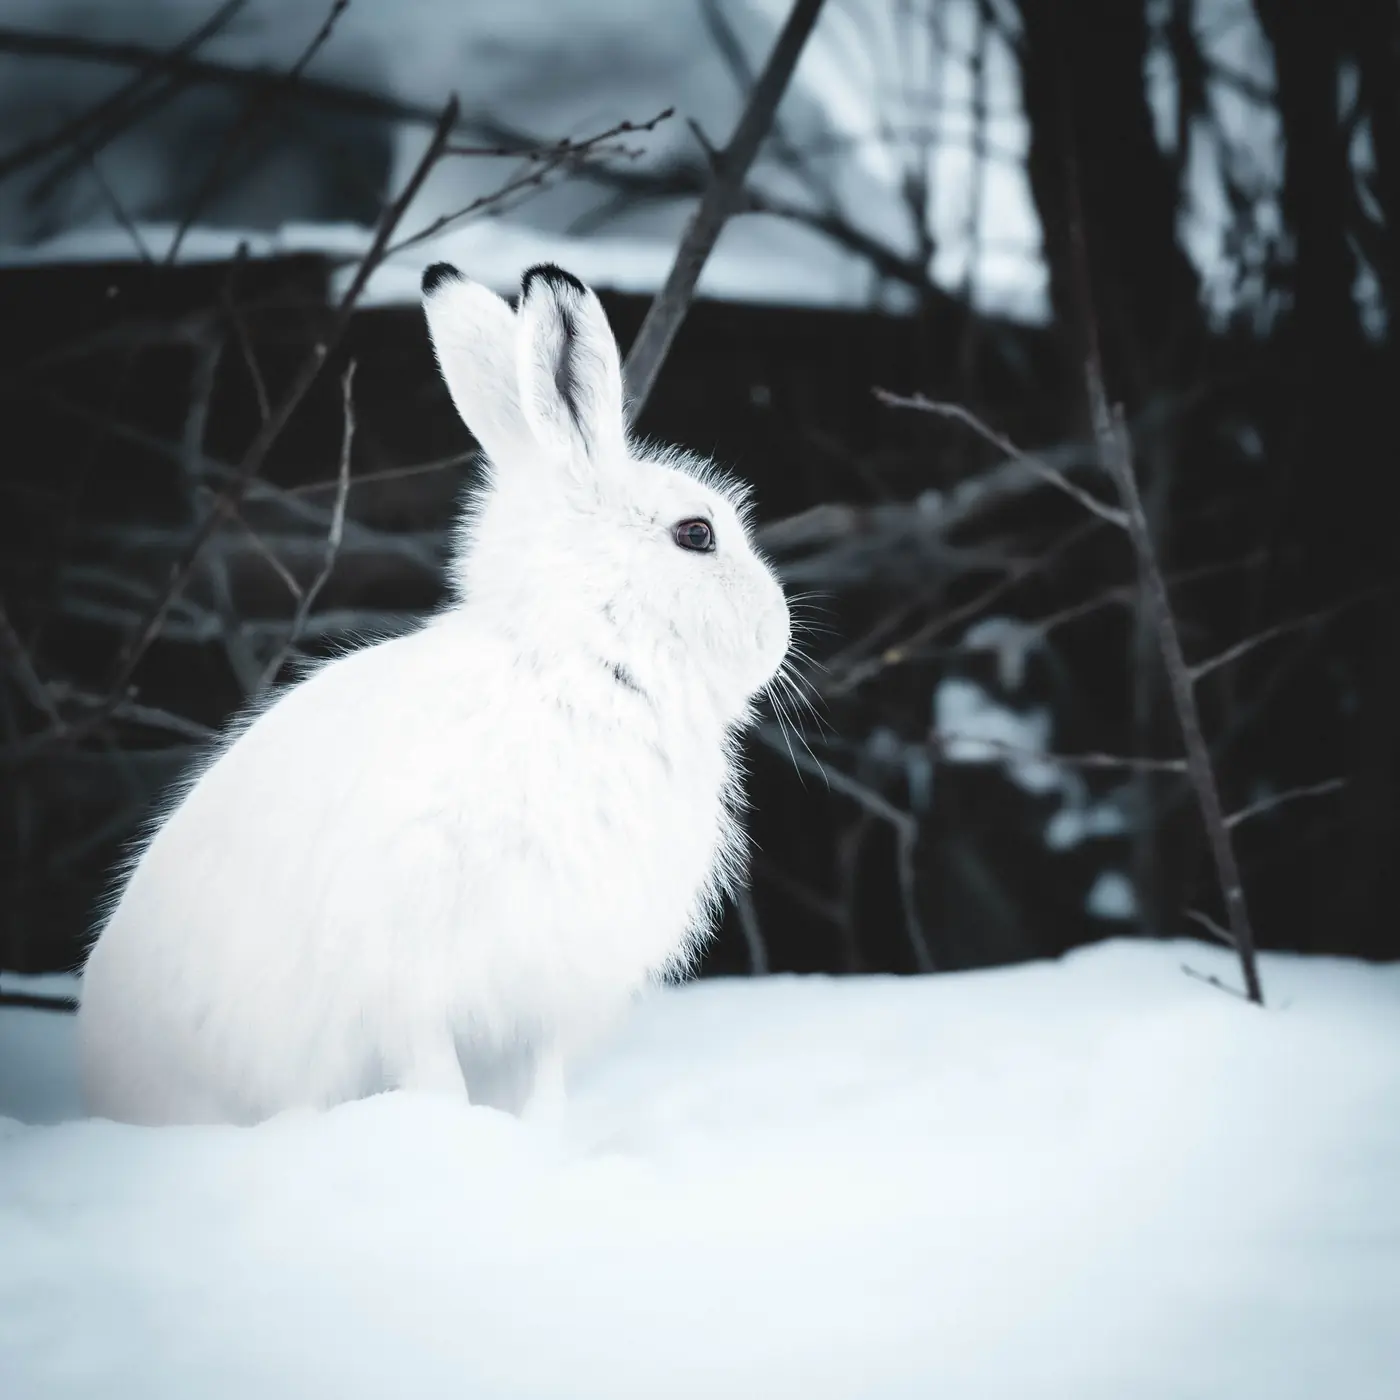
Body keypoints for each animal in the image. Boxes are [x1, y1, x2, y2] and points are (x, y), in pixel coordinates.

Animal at [76, 262, 792, 1127]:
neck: (576, 663)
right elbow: (434, 1074)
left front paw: (545, 1140)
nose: (777, 632)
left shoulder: (545, 985)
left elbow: (542, 1082)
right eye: (696, 534)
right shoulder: (407, 975)